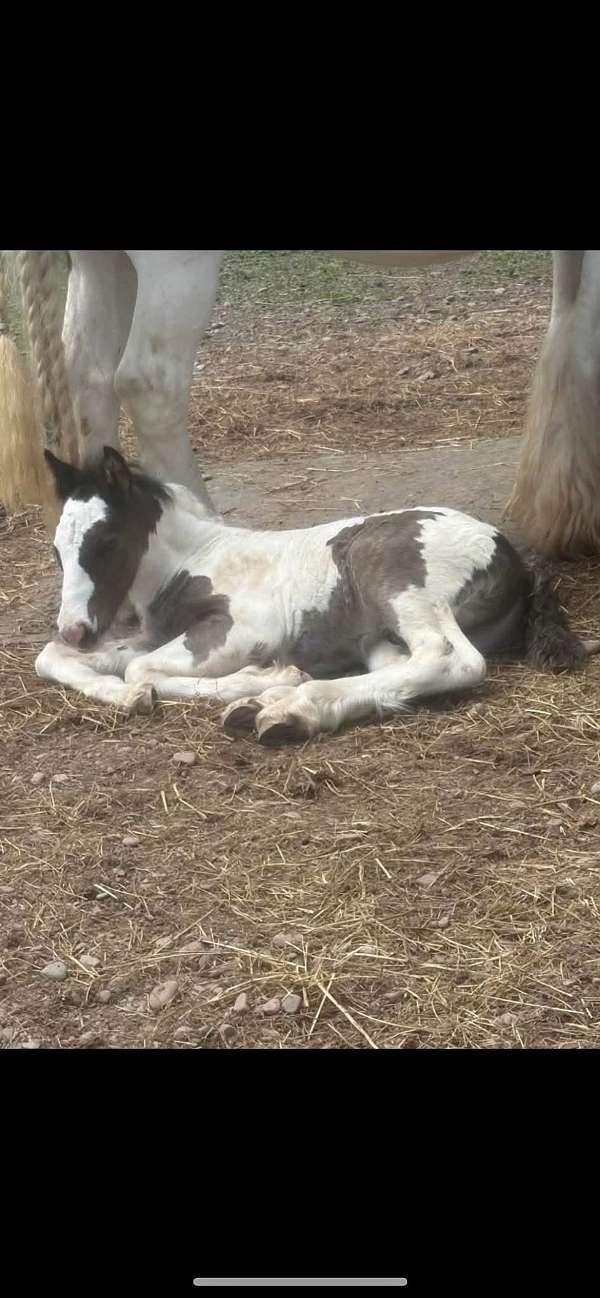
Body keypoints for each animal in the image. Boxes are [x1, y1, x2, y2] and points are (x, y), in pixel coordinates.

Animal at [35, 446, 592, 745]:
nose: (77, 629)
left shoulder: (241, 630)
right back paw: (277, 706)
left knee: (450, 657)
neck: (194, 557)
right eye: (57, 549)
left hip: (397, 583)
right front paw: (126, 696)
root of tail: (511, 554)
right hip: (378, 633)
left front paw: (261, 678)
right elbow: (54, 658)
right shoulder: (157, 634)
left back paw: (289, 705)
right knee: (400, 669)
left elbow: (140, 668)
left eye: (106, 541)